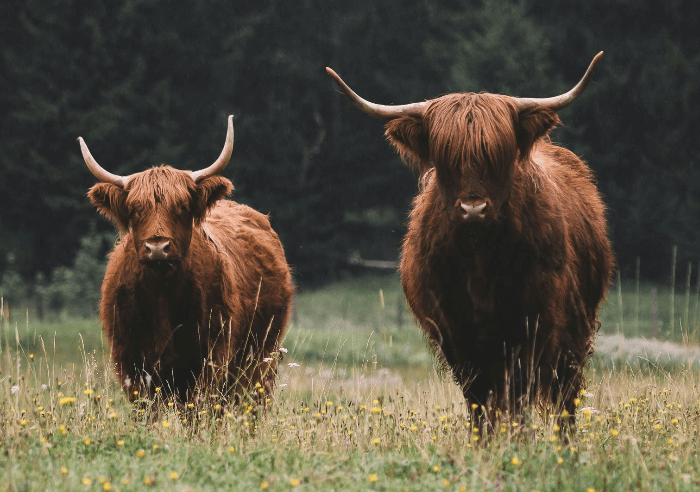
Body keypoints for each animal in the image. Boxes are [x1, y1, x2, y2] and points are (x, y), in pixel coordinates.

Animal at [78, 116, 292, 404]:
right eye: (135, 209)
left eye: (181, 207)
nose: (157, 247)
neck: (161, 295)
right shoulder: (130, 363)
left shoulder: (210, 358)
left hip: (262, 355)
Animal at [328, 53, 612, 422]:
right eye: (445, 158)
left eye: (498, 155)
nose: (473, 208)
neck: (481, 263)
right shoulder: (455, 333)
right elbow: (479, 397)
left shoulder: (533, 324)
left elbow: (519, 393)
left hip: (576, 329)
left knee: (565, 394)